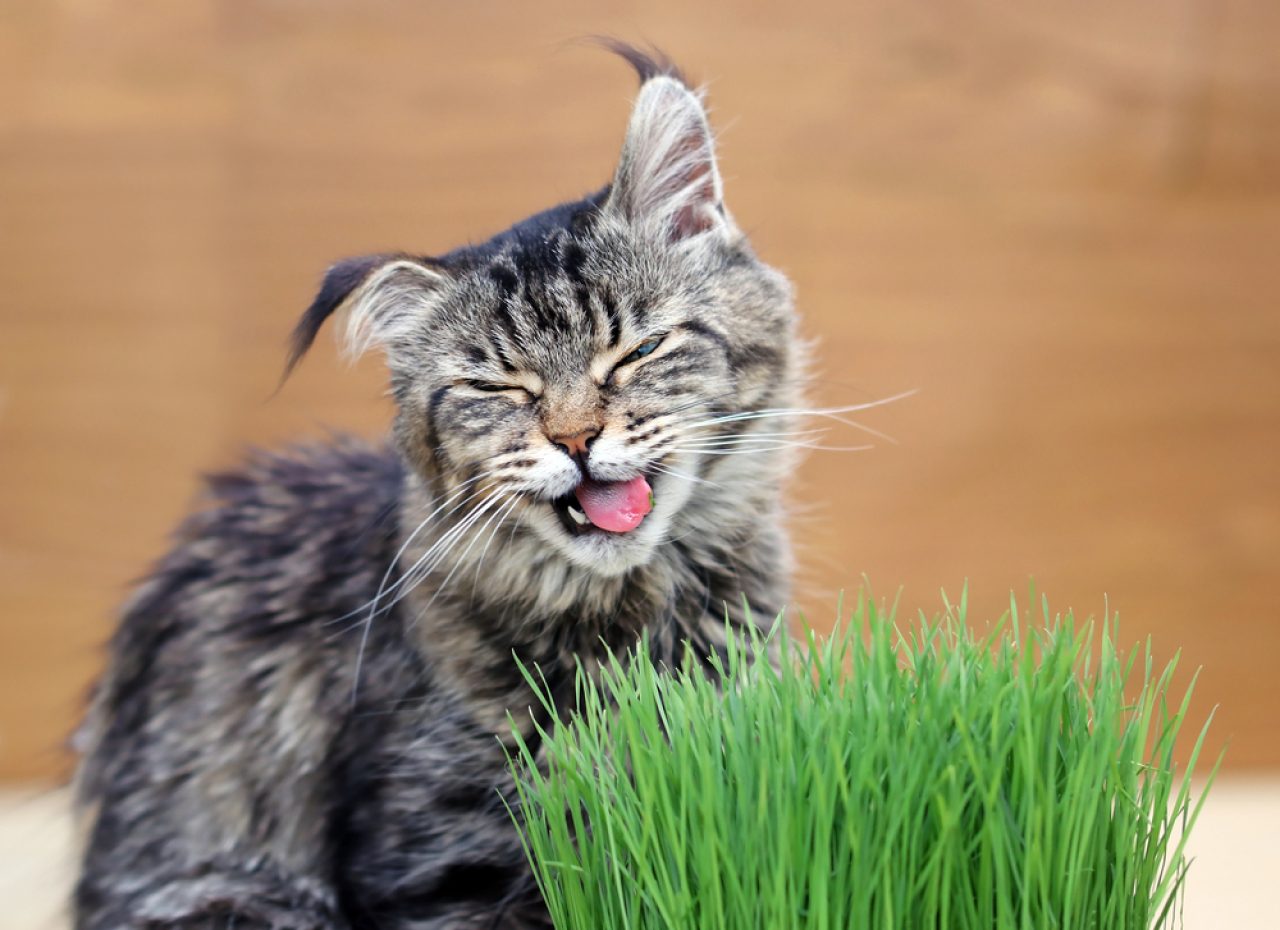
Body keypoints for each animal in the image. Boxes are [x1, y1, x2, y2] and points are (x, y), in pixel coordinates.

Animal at [70, 43, 798, 930]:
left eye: (636, 351)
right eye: (499, 389)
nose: (576, 438)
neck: (637, 623)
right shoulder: (446, 854)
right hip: (237, 890)